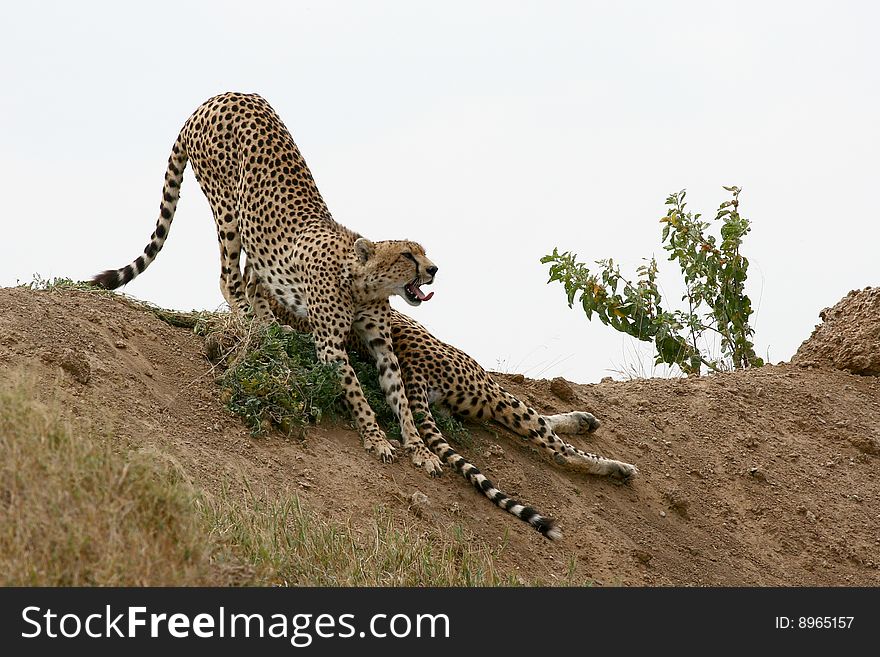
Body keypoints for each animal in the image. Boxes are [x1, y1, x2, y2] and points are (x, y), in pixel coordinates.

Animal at [93, 91, 444, 472]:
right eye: (407, 256)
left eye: (422, 253)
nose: (434, 269)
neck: (362, 284)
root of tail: (217, 97)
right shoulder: (330, 344)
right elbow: (356, 391)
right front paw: (375, 437)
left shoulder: (381, 344)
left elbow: (400, 396)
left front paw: (420, 447)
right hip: (228, 207)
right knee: (228, 278)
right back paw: (253, 323)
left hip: (255, 238)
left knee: (252, 280)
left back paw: (271, 324)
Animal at [256, 272, 640, 540]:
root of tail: (413, 372)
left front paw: (582, 419)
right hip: (490, 391)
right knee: (557, 448)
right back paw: (620, 468)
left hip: (470, 403)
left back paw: (586, 426)